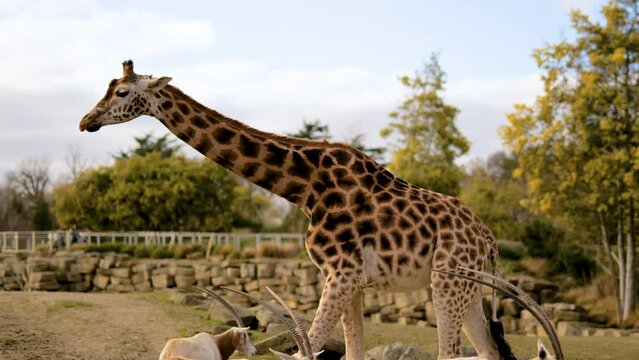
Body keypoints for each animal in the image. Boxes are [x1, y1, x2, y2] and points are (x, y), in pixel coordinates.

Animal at [80, 59, 510, 360]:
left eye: (122, 93)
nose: (86, 120)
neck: (304, 188)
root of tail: (487, 236)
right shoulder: (351, 279)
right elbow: (351, 350)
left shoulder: (341, 273)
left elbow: (312, 346)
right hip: (469, 288)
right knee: (487, 350)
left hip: (446, 281)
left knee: (449, 351)